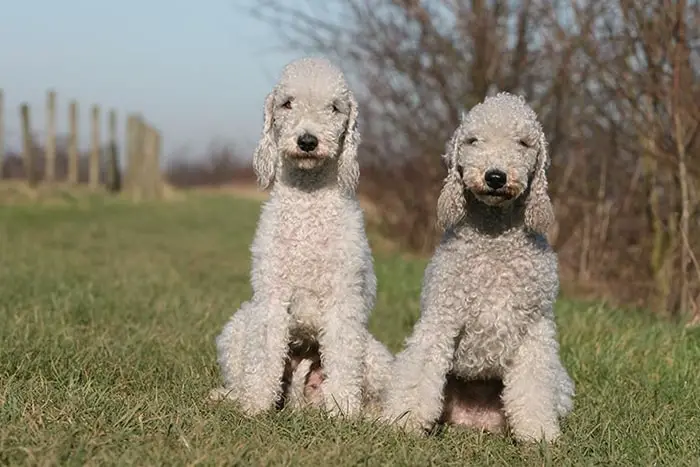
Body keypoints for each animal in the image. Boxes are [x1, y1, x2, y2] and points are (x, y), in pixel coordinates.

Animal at [208, 56, 394, 418]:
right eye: (287, 103)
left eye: (334, 108)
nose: (307, 141)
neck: (308, 202)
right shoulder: (271, 295)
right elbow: (265, 352)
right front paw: (256, 406)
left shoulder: (343, 297)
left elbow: (343, 356)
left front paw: (343, 409)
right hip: (239, 326)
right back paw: (231, 396)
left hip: (374, 356)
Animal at [382, 93, 576, 444]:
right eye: (473, 140)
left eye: (524, 143)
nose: (495, 177)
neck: (494, 235)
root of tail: (474, 419)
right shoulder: (442, 316)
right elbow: (420, 371)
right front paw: (404, 422)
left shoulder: (535, 328)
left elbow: (533, 387)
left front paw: (539, 435)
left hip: (561, 382)